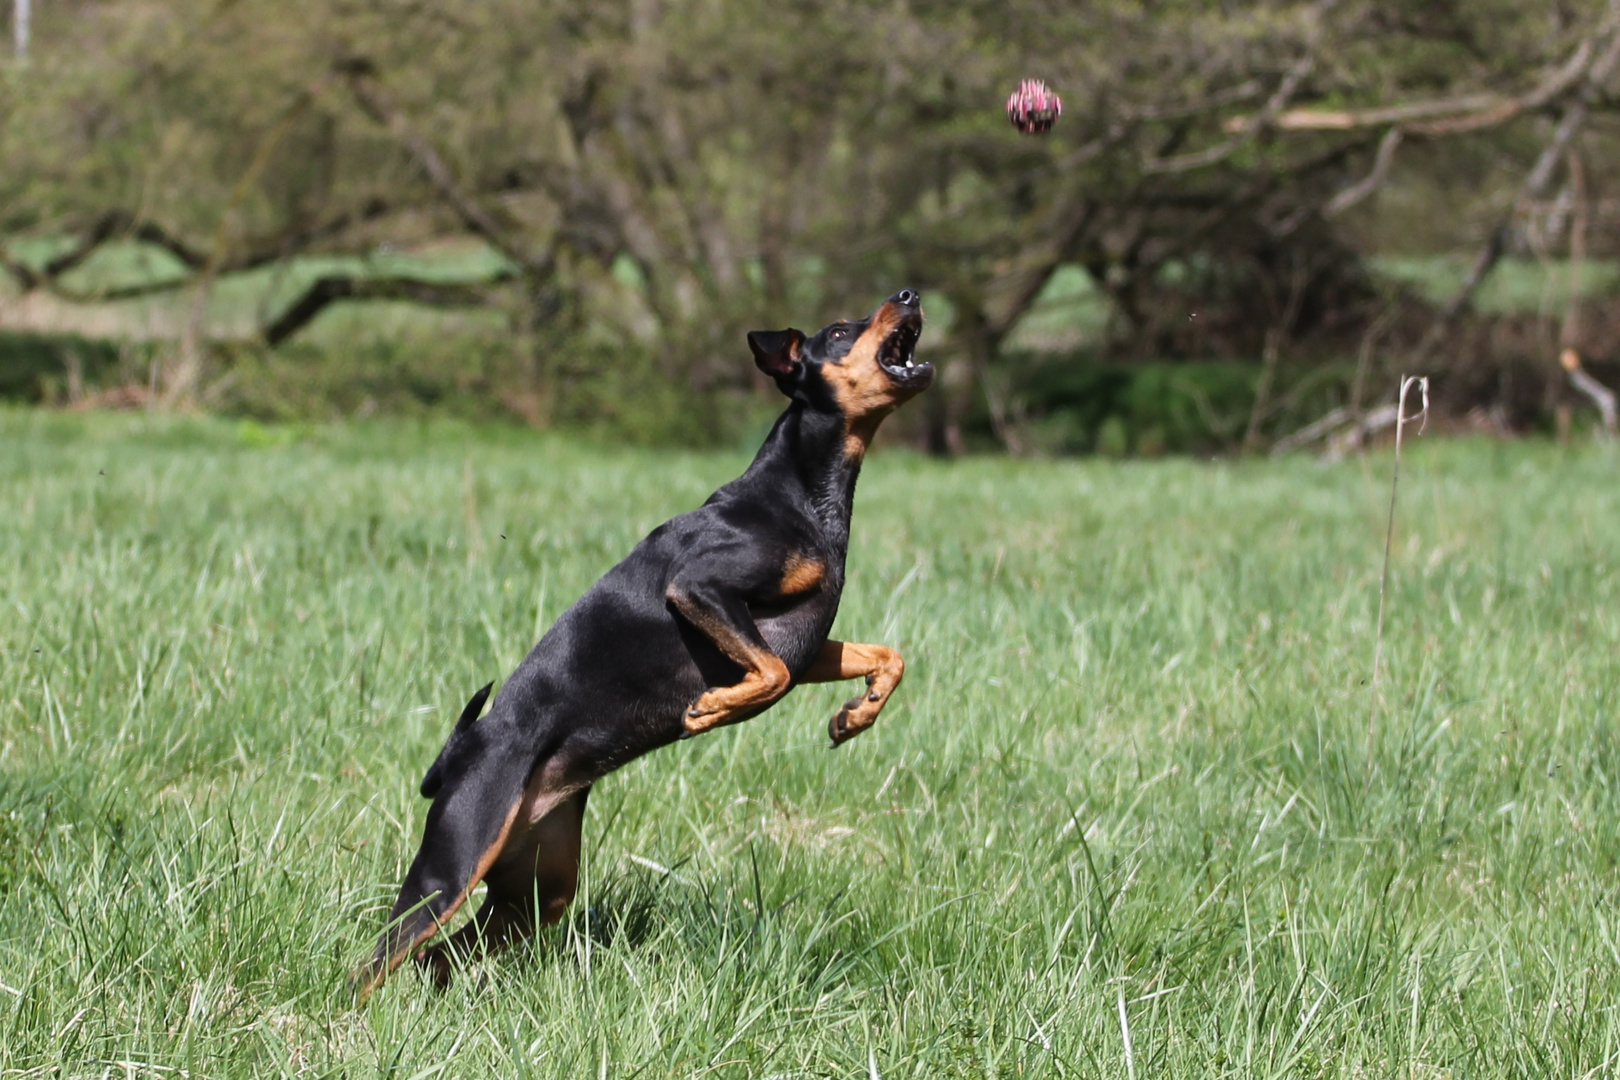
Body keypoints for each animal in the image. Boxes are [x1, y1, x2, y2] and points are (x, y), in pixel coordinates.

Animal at [354, 289, 939, 1003]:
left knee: (440, 956)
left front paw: (856, 715)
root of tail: (463, 749)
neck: (800, 495)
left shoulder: (808, 642)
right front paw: (713, 708)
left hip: (535, 891)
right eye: (838, 331)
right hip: (456, 861)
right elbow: (768, 672)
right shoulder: (700, 588)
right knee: (376, 959)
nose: (909, 294)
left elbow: (887, 656)